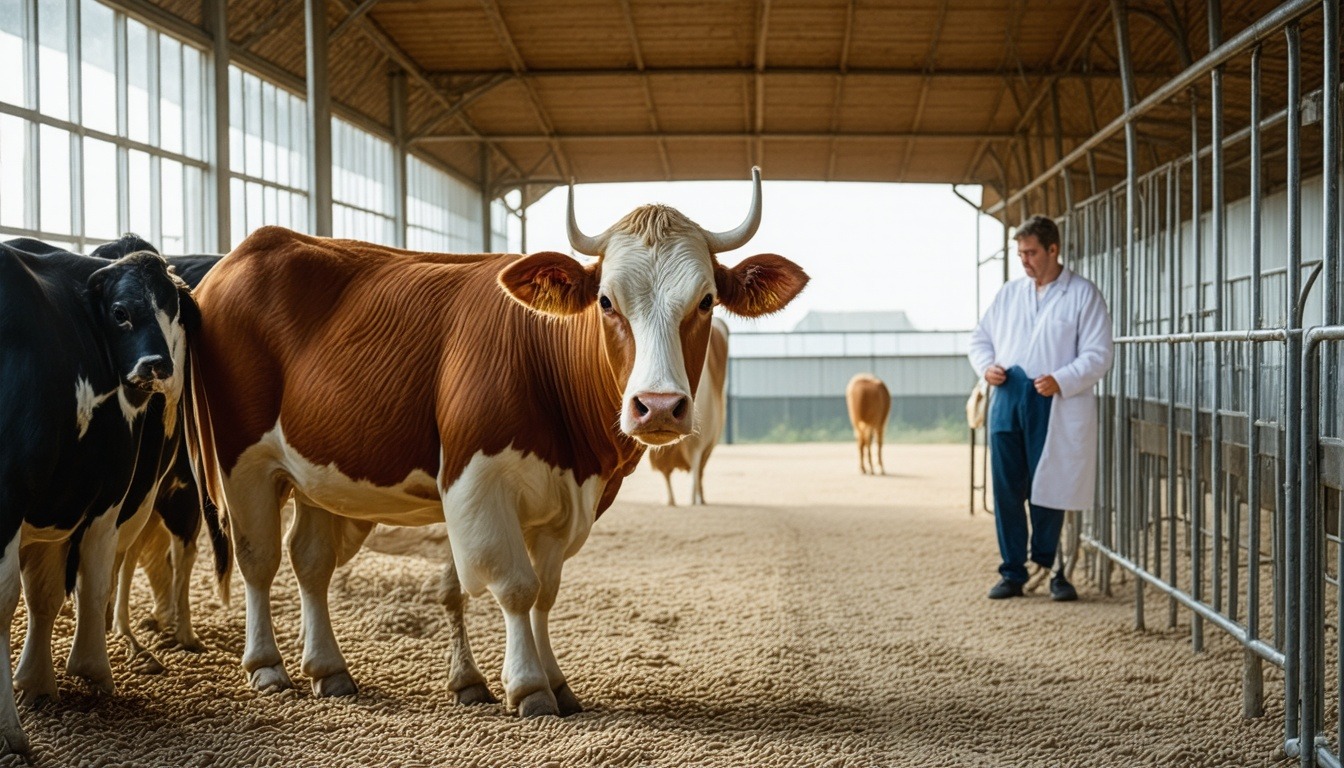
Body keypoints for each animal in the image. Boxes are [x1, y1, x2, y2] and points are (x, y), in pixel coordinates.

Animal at [0, 238, 195, 754]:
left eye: (171, 310)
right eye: (121, 312)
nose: (157, 367)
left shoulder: (85, 497)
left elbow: (52, 591)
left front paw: (44, 681)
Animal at [88, 236, 228, 669]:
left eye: (173, 308)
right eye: (117, 311)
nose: (153, 365)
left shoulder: (179, 492)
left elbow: (175, 556)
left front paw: (181, 633)